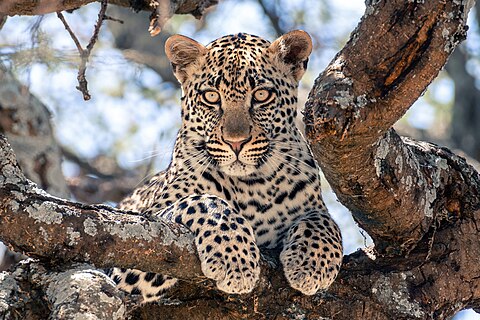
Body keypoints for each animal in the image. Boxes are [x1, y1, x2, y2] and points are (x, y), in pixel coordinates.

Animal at [109, 30, 342, 302]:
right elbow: (203, 201)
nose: (236, 142)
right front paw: (236, 260)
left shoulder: (313, 206)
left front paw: (312, 264)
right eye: (211, 96)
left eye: (261, 95)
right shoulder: (136, 245)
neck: (252, 185)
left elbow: (324, 220)